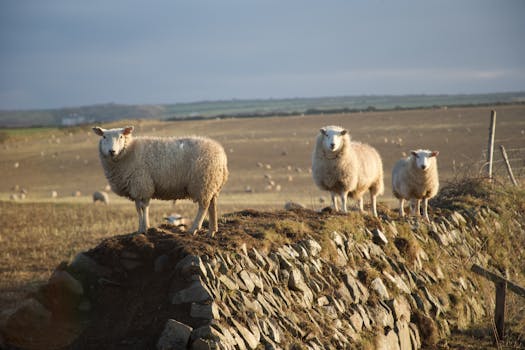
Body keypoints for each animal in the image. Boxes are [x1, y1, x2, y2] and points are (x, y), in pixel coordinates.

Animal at [92, 124, 227, 237]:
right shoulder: (137, 188)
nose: (112, 151)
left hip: (202, 182)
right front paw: (140, 229)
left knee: (203, 206)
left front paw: (145, 228)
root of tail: (221, 155)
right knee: (212, 204)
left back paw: (194, 229)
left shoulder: (142, 184)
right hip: (212, 183)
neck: (129, 151)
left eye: (121, 136)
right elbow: (138, 208)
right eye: (104, 136)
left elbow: (143, 207)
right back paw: (212, 231)